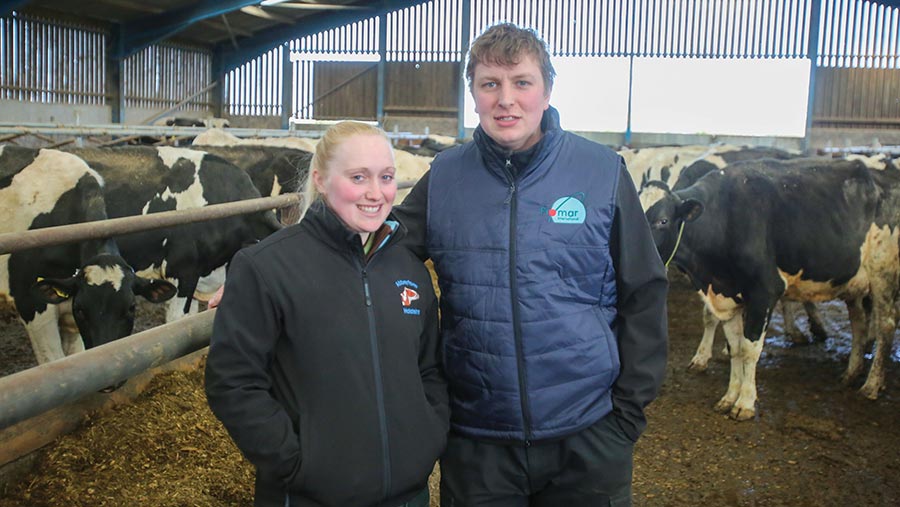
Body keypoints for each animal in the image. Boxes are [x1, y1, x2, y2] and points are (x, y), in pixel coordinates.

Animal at [640, 159, 900, 420]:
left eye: (662, 221)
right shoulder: (727, 296)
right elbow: (734, 348)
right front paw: (729, 397)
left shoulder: (764, 292)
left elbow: (750, 349)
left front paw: (745, 403)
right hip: (853, 282)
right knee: (859, 323)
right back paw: (851, 373)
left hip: (883, 273)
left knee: (886, 325)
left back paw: (871, 385)